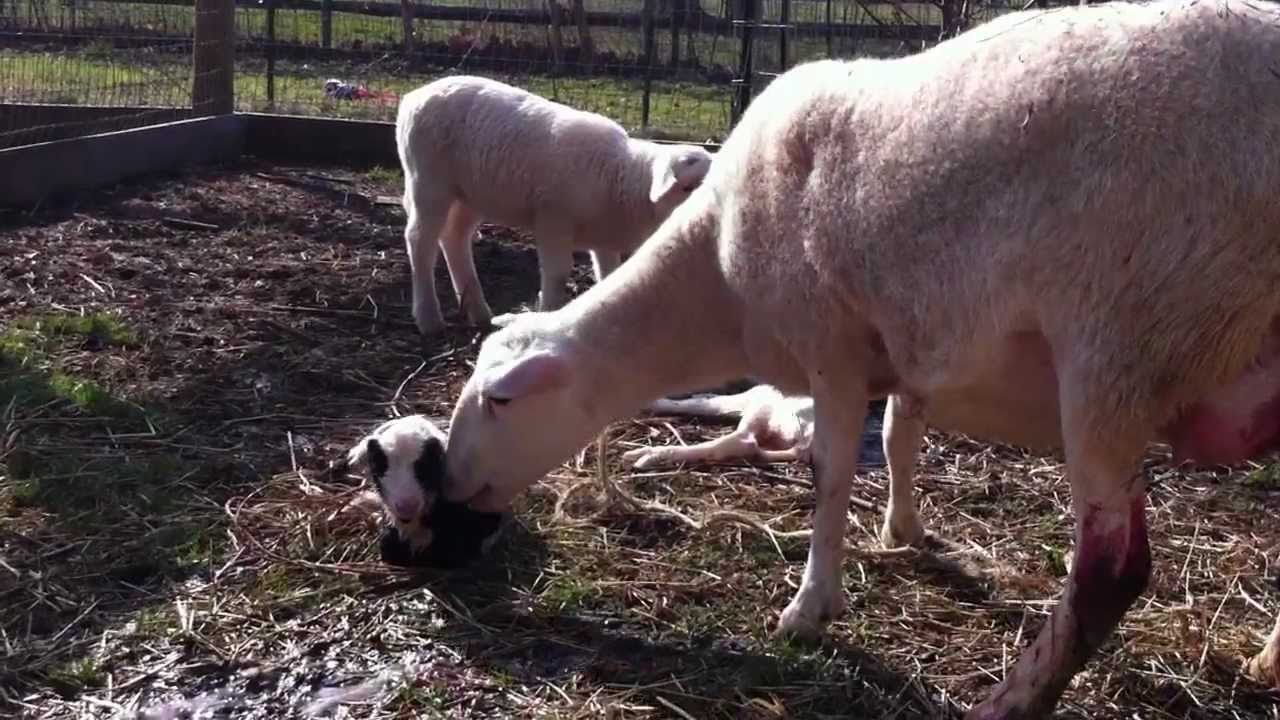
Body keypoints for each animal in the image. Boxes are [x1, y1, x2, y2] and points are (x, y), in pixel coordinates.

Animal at [394, 75, 715, 335]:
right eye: (688, 187)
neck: (621, 178)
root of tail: (413, 97)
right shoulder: (553, 218)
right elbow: (557, 272)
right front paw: (547, 315)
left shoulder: (603, 237)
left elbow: (610, 274)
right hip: (428, 181)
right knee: (420, 240)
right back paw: (429, 319)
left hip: (470, 195)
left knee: (454, 238)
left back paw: (479, 313)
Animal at [437, 1, 1280, 715]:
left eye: (500, 400)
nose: (449, 481)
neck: (716, 281)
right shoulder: (910, 339)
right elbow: (904, 440)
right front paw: (902, 532)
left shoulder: (831, 346)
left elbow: (831, 473)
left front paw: (812, 607)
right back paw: (1266, 660)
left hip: (1122, 340)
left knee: (1112, 568)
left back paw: (1011, 700)